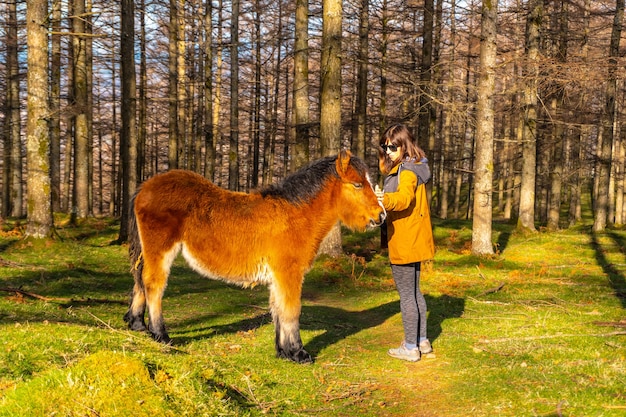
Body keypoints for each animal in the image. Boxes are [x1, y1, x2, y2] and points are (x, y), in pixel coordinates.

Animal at [123, 151, 382, 362]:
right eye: (358, 185)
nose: (380, 216)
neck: (295, 214)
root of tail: (145, 187)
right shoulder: (289, 274)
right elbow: (291, 310)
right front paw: (299, 353)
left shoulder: (278, 277)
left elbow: (278, 309)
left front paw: (284, 351)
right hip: (160, 251)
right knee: (153, 285)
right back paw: (161, 335)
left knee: (140, 282)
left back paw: (138, 324)